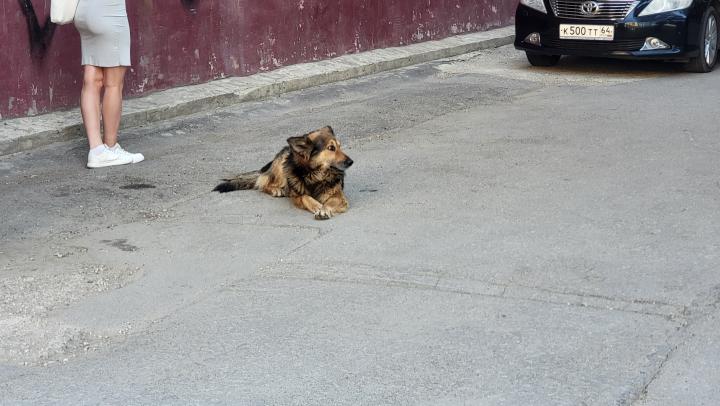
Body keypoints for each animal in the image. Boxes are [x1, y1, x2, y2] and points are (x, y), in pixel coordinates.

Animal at [214, 127, 354, 222]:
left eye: (340, 146)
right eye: (331, 148)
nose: (351, 162)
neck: (315, 175)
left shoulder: (339, 197)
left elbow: (329, 203)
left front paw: (324, 210)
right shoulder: (296, 196)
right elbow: (305, 197)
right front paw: (317, 206)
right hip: (282, 163)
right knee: (263, 182)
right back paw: (276, 189)